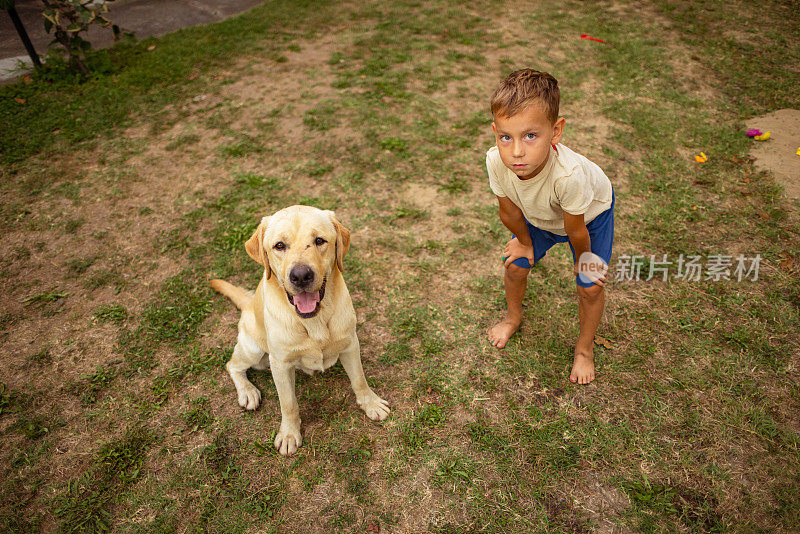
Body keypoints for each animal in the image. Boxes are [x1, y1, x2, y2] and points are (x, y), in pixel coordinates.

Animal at [211, 206, 390, 456]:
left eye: (319, 241)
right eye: (279, 245)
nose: (301, 276)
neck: (314, 320)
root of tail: (247, 304)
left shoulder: (350, 344)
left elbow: (359, 380)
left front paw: (370, 403)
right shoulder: (280, 364)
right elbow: (288, 404)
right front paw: (289, 434)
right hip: (254, 350)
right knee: (232, 365)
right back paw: (247, 391)